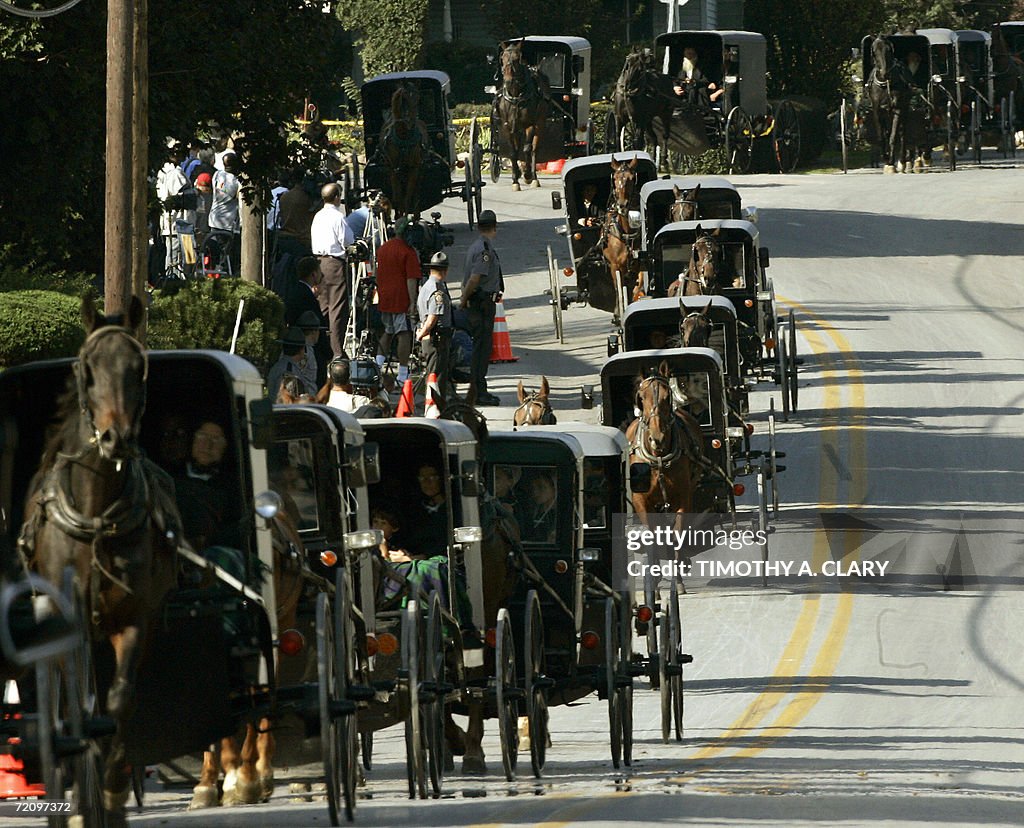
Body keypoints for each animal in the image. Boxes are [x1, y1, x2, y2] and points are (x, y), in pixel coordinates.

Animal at [17, 294, 178, 822]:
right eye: (87, 369)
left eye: (137, 369)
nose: (116, 439)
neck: (95, 512)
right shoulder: (68, 617)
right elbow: (78, 706)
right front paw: (81, 792)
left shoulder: (136, 617)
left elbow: (118, 700)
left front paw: (110, 788)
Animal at [495, 42, 552, 191]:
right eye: (502, 58)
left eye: (517, 59)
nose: (508, 81)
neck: (516, 96)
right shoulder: (508, 127)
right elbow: (513, 152)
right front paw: (515, 179)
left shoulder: (530, 125)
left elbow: (527, 149)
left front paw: (527, 175)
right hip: (517, 128)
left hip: (539, 124)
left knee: (533, 149)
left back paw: (533, 176)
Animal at [622, 360, 704, 528]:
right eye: (641, 398)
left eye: (667, 397)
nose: (657, 438)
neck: (658, 458)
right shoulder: (641, 502)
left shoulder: (684, 498)